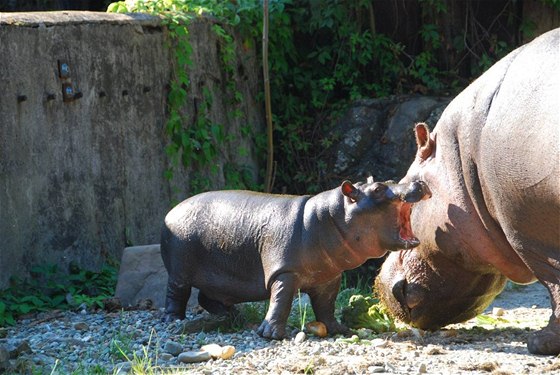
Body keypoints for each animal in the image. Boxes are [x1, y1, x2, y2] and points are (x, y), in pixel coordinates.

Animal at [160, 178, 430, 340]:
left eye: (390, 181)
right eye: (377, 189)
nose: (418, 182)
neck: (331, 218)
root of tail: (171, 211)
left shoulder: (329, 277)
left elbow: (326, 306)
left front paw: (339, 330)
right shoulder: (284, 273)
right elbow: (281, 301)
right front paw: (271, 334)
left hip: (223, 282)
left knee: (207, 297)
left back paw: (233, 315)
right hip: (179, 271)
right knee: (177, 293)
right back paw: (173, 320)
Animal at [376, 29, 560, 356]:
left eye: (408, 191)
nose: (381, 285)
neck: (462, 155)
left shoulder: (530, 235)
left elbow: (554, 282)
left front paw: (541, 342)